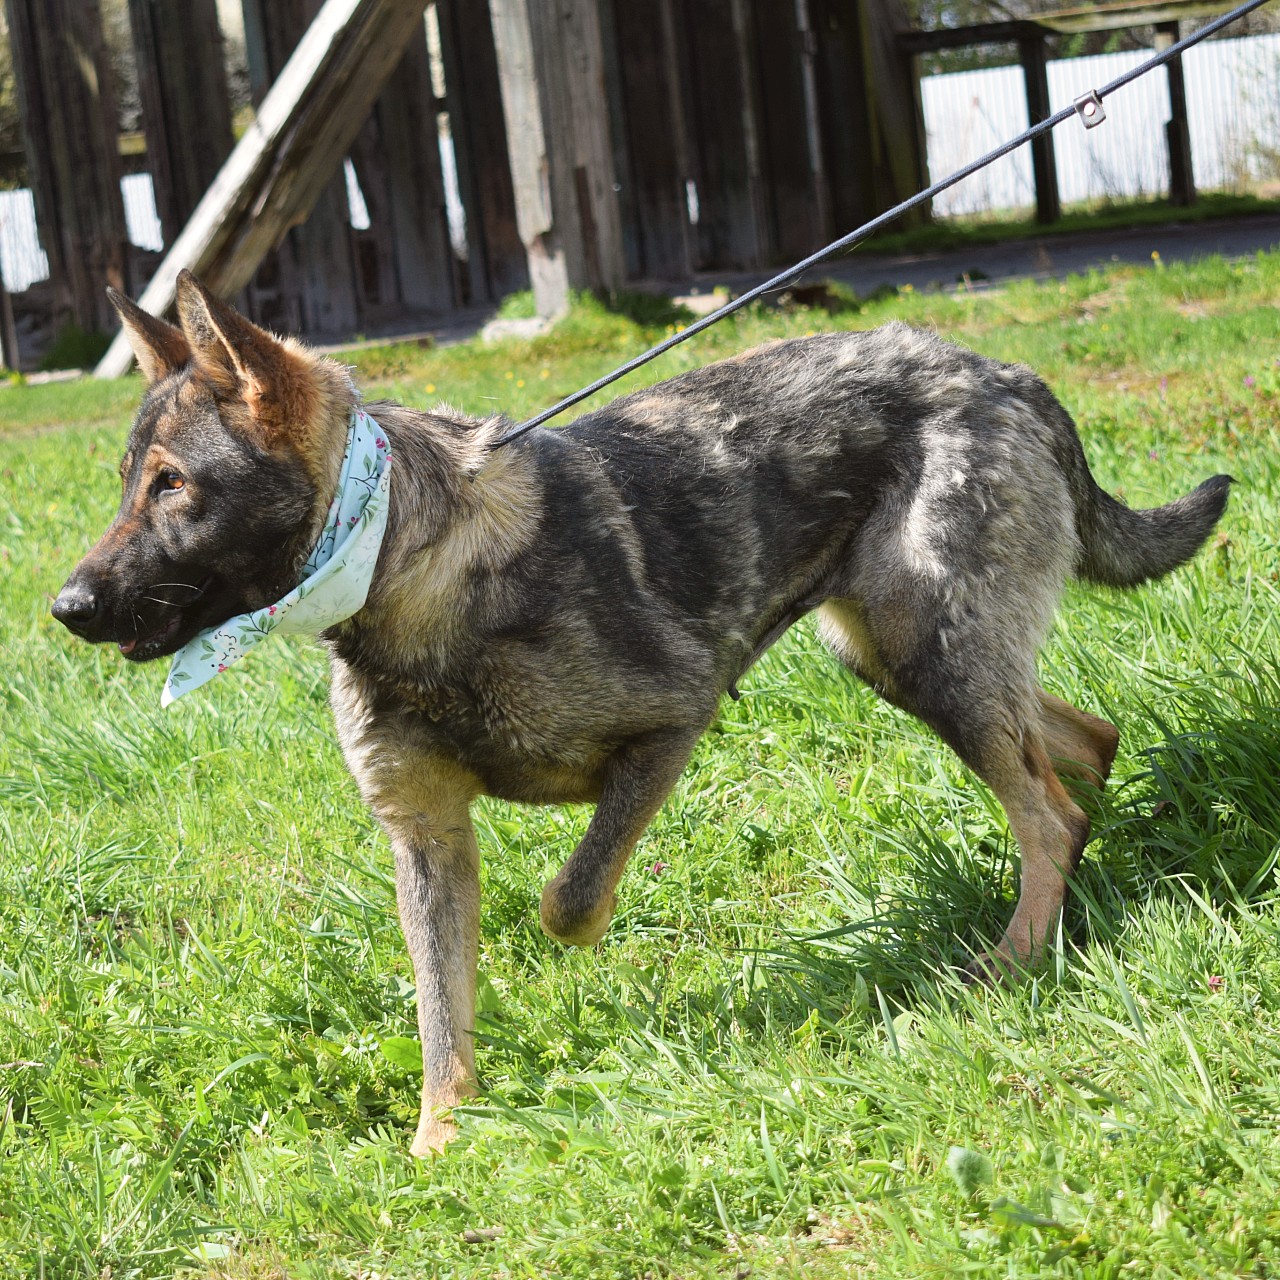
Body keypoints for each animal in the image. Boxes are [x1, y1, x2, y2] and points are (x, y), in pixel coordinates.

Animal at [53, 271, 1229, 1155]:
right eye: (125, 481)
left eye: (172, 485)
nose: (65, 608)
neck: (402, 558)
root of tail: (1007, 376)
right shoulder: (426, 838)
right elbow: (441, 1020)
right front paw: (442, 1142)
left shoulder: (672, 723)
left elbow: (567, 900)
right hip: (903, 657)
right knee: (1075, 749)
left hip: (927, 652)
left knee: (1042, 808)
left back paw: (1014, 957)